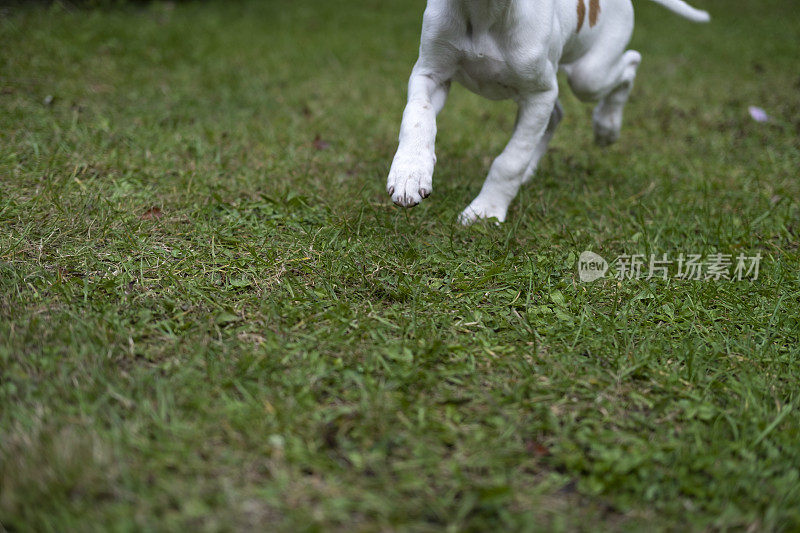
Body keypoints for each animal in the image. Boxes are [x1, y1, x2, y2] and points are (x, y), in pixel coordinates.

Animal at [386, 0, 708, 222]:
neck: (485, 11)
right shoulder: (430, 74)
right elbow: (417, 118)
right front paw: (409, 173)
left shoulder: (539, 93)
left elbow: (510, 160)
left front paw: (486, 210)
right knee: (557, 114)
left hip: (588, 74)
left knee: (630, 63)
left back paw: (607, 125)